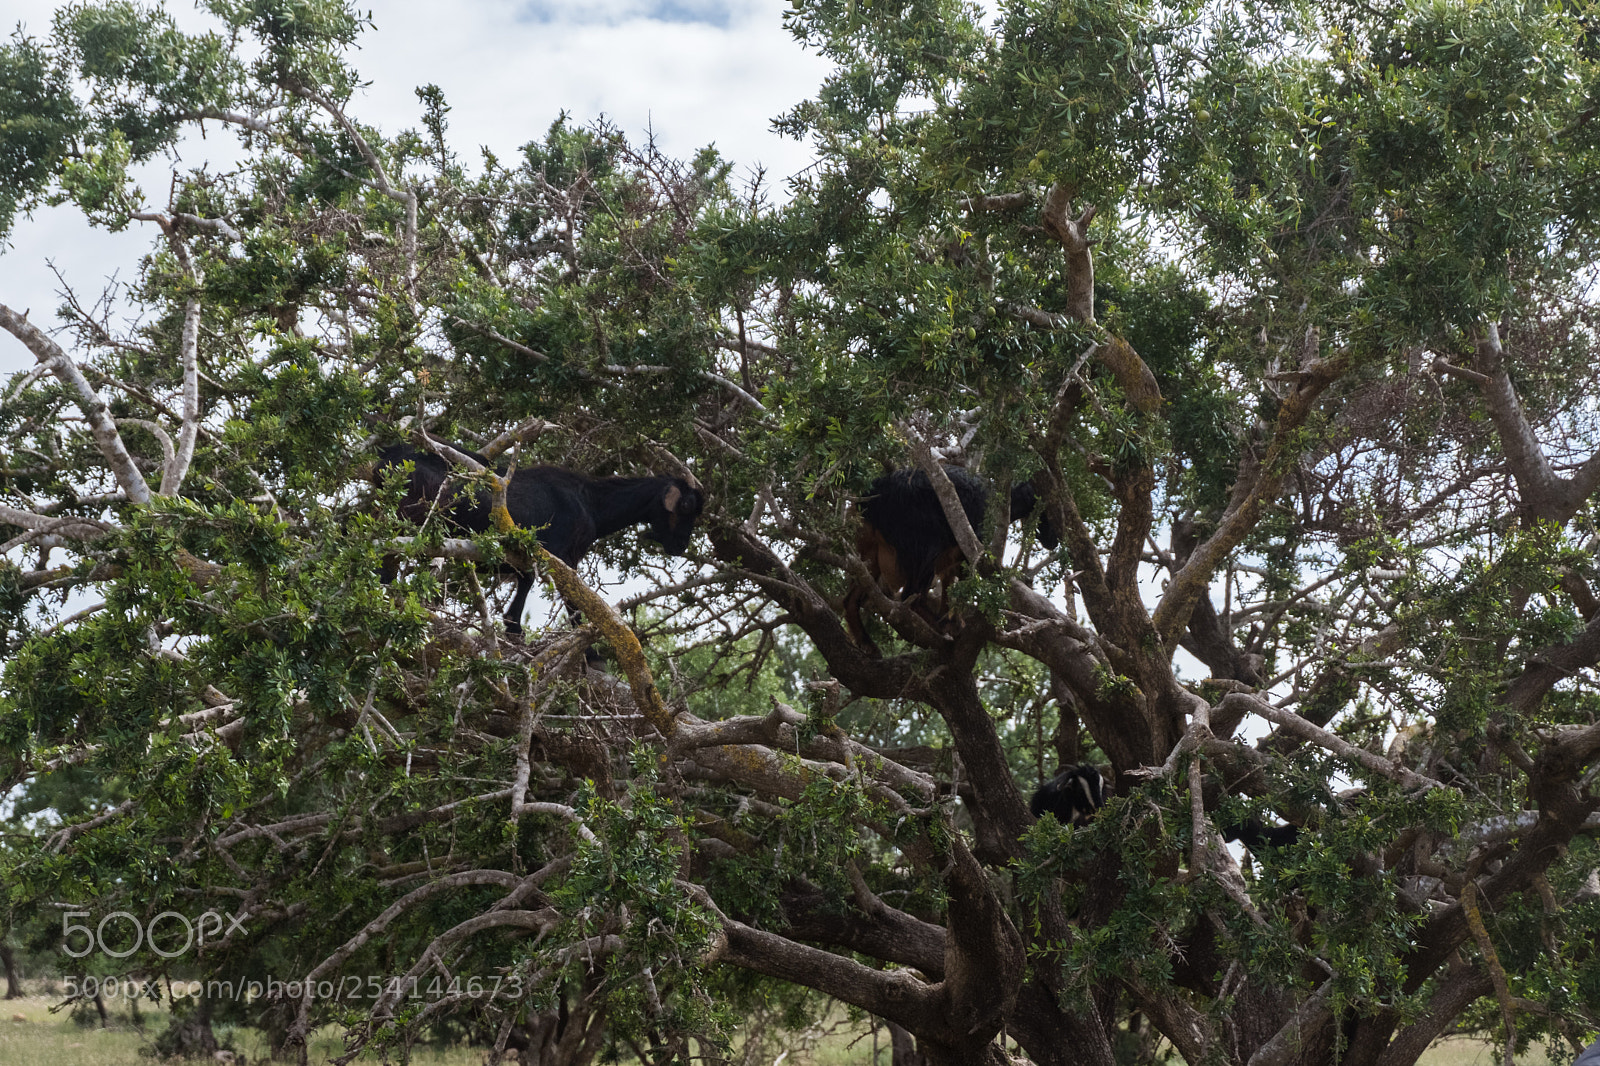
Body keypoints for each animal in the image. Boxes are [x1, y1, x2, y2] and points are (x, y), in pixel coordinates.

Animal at [374, 444, 704, 639]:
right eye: (687, 506)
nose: (680, 546)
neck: (591, 502)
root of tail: (389, 459)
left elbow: (523, 589)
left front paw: (514, 628)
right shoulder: (561, 556)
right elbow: (573, 603)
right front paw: (593, 656)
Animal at [842, 466, 1047, 654]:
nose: (1051, 541)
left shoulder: (954, 558)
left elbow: (950, 587)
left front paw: (953, 619)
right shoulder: (967, 547)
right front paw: (951, 623)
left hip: (872, 552)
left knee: (852, 597)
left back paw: (866, 642)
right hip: (926, 544)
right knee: (910, 595)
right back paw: (941, 627)